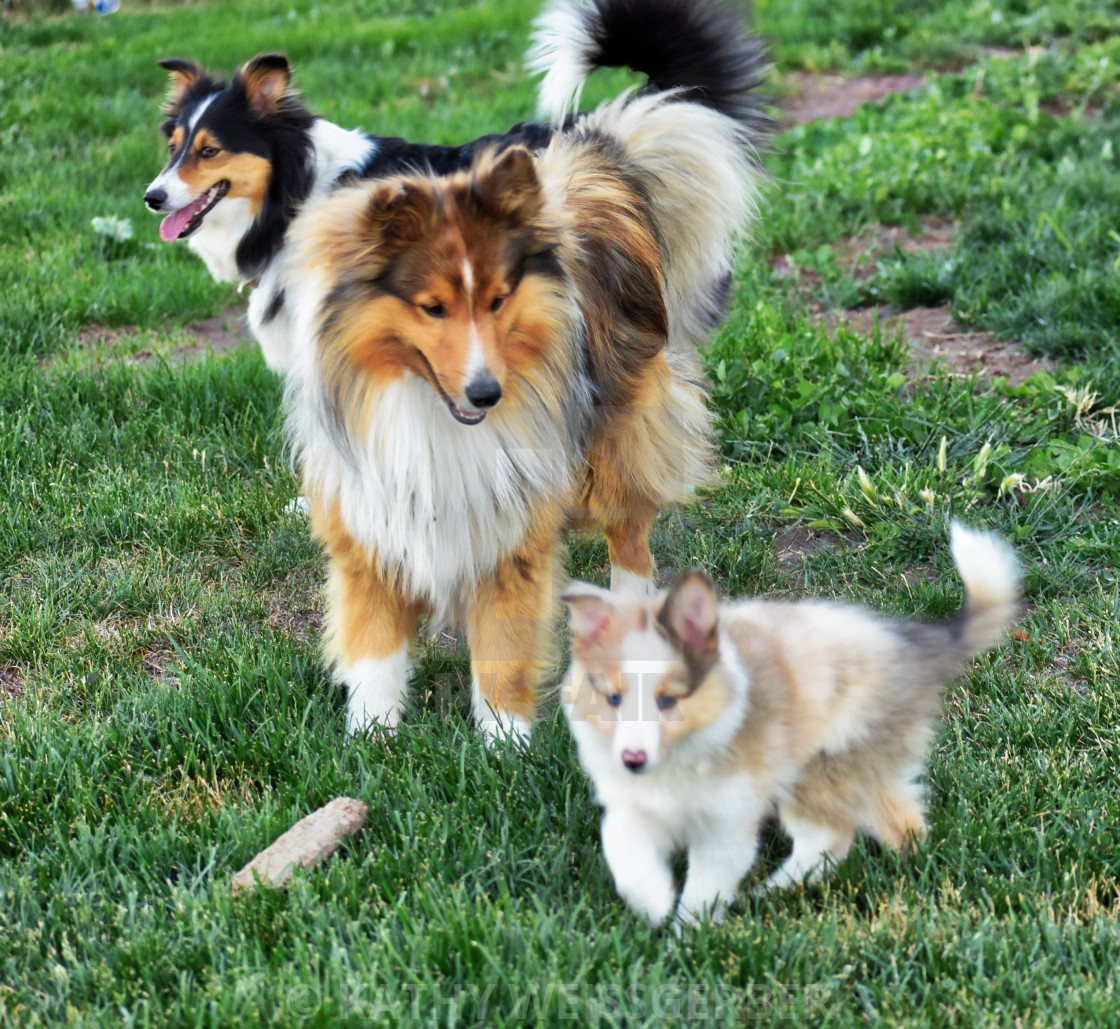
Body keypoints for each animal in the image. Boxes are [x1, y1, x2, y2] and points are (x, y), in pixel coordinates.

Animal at [280, 0, 770, 743]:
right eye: (432, 306)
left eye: (498, 299)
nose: (487, 392)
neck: (428, 409)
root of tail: (586, 172)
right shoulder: (370, 524)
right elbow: (374, 644)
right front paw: (373, 734)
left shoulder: (514, 521)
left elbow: (505, 645)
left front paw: (503, 742)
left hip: (618, 443)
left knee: (631, 542)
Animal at [564, 524, 1021, 927]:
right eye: (613, 699)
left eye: (668, 700)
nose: (633, 760)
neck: (679, 759)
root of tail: (917, 645)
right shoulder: (634, 804)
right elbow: (623, 848)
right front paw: (654, 904)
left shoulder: (727, 824)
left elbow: (704, 887)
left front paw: (687, 935)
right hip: (862, 765)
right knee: (902, 820)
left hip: (818, 767)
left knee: (829, 838)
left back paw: (767, 893)